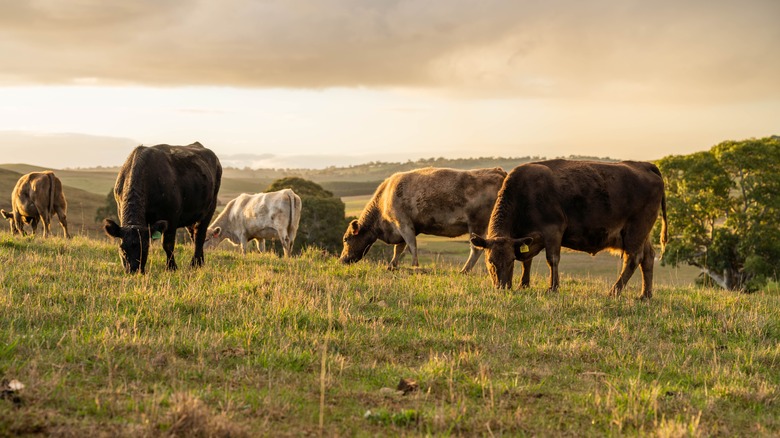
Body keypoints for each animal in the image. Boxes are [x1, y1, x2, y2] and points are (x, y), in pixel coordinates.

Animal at [102, 143, 221, 274]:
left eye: (145, 247)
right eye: (122, 248)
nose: (134, 270)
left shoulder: (172, 217)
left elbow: (167, 244)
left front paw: (171, 267)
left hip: (210, 208)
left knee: (200, 235)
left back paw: (194, 264)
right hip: (191, 215)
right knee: (194, 236)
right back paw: (200, 262)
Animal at [338, 167, 508, 272]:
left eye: (346, 239)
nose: (341, 260)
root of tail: (498, 171)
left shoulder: (404, 224)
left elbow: (411, 246)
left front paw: (414, 266)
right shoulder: (401, 229)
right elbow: (399, 249)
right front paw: (392, 266)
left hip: (477, 225)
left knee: (476, 249)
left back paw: (464, 270)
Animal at [466, 159, 668, 300]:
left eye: (509, 262)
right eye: (490, 261)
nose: (502, 287)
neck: (525, 194)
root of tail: (644, 165)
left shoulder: (553, 230)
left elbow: (552, 259)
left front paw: (553, 288)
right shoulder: (526, 238)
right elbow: (527, 260)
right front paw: (524, 284)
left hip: (636, 230)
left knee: (633, 259)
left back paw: (614, 291)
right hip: (643, 233)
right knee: (648, 258)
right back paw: (645, 295)